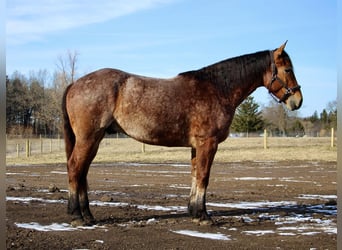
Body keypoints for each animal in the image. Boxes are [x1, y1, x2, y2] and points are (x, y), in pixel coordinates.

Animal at [61, 42, 302, 226]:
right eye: (288, 70)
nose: (297, 101)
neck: (217, 89)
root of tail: (75, 84)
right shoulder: (208, 143)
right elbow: (204, 176)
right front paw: (204, 216)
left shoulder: (196, 146)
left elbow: (195, 175)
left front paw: (194, 212)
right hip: (88, 138)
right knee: (75, 168)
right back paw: (77, 216)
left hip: (94, 139)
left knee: (82, 172)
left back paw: (88, 215)